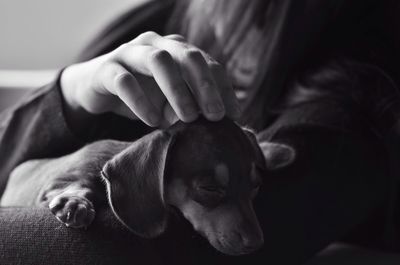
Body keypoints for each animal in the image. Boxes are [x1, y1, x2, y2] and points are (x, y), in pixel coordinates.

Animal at [0, 117, 294, 254]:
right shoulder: (56, 183)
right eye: (209, 189)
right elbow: (76, 186)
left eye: (255, 187)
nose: (256, 244)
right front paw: (74, 203)